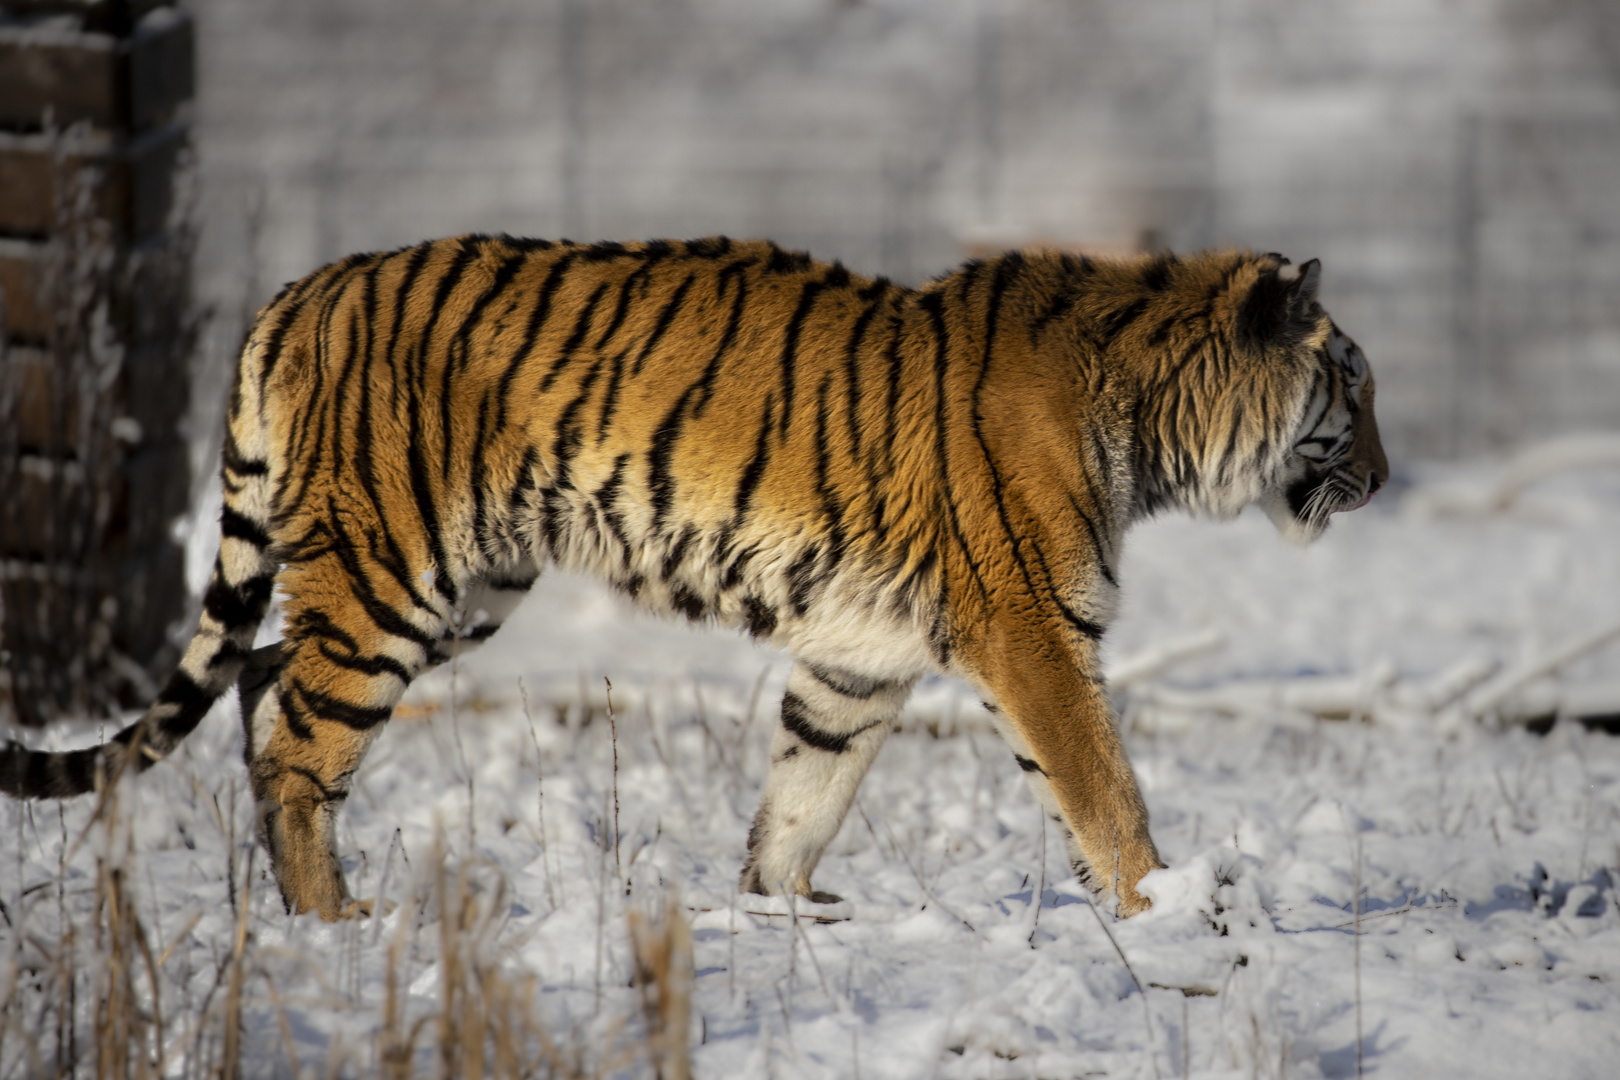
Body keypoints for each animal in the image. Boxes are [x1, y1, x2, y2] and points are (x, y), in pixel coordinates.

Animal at [6, 236, 1386, 919]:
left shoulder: (856, 657)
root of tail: (297, 291)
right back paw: (329, 923)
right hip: (391, 572)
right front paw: (1176, 917)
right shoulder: (1035, 633)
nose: (1383, 476)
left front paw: (778, 911)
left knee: (261, 678)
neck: (1154, 422)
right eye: (1353, 383)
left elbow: (806, 790)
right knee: (298, 736)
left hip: (462, 586)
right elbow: (1105, 791)